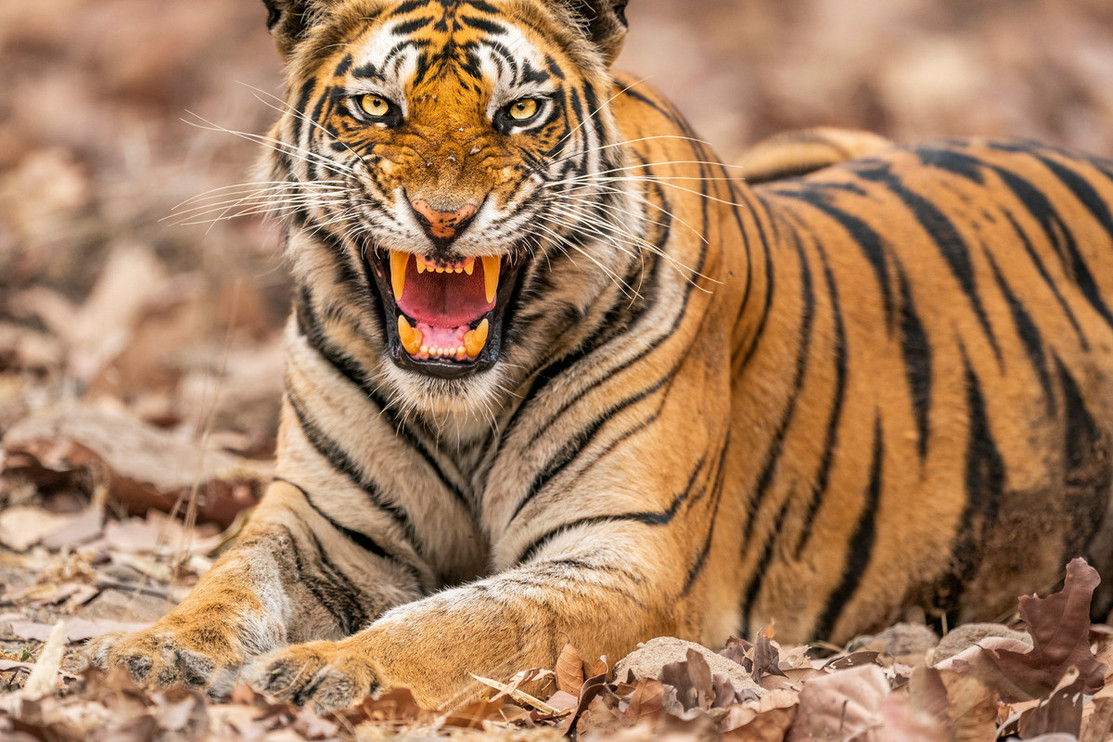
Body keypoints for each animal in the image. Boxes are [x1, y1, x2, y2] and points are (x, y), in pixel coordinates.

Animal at [90, 0, 1113, 711]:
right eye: (376, 106)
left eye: (520, 111)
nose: (445, 217)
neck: (463, 413)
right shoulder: (325, 520)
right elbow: (232, 578)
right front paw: (147, 647)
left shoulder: (620, 557)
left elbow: (464, 623)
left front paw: (329, 670)